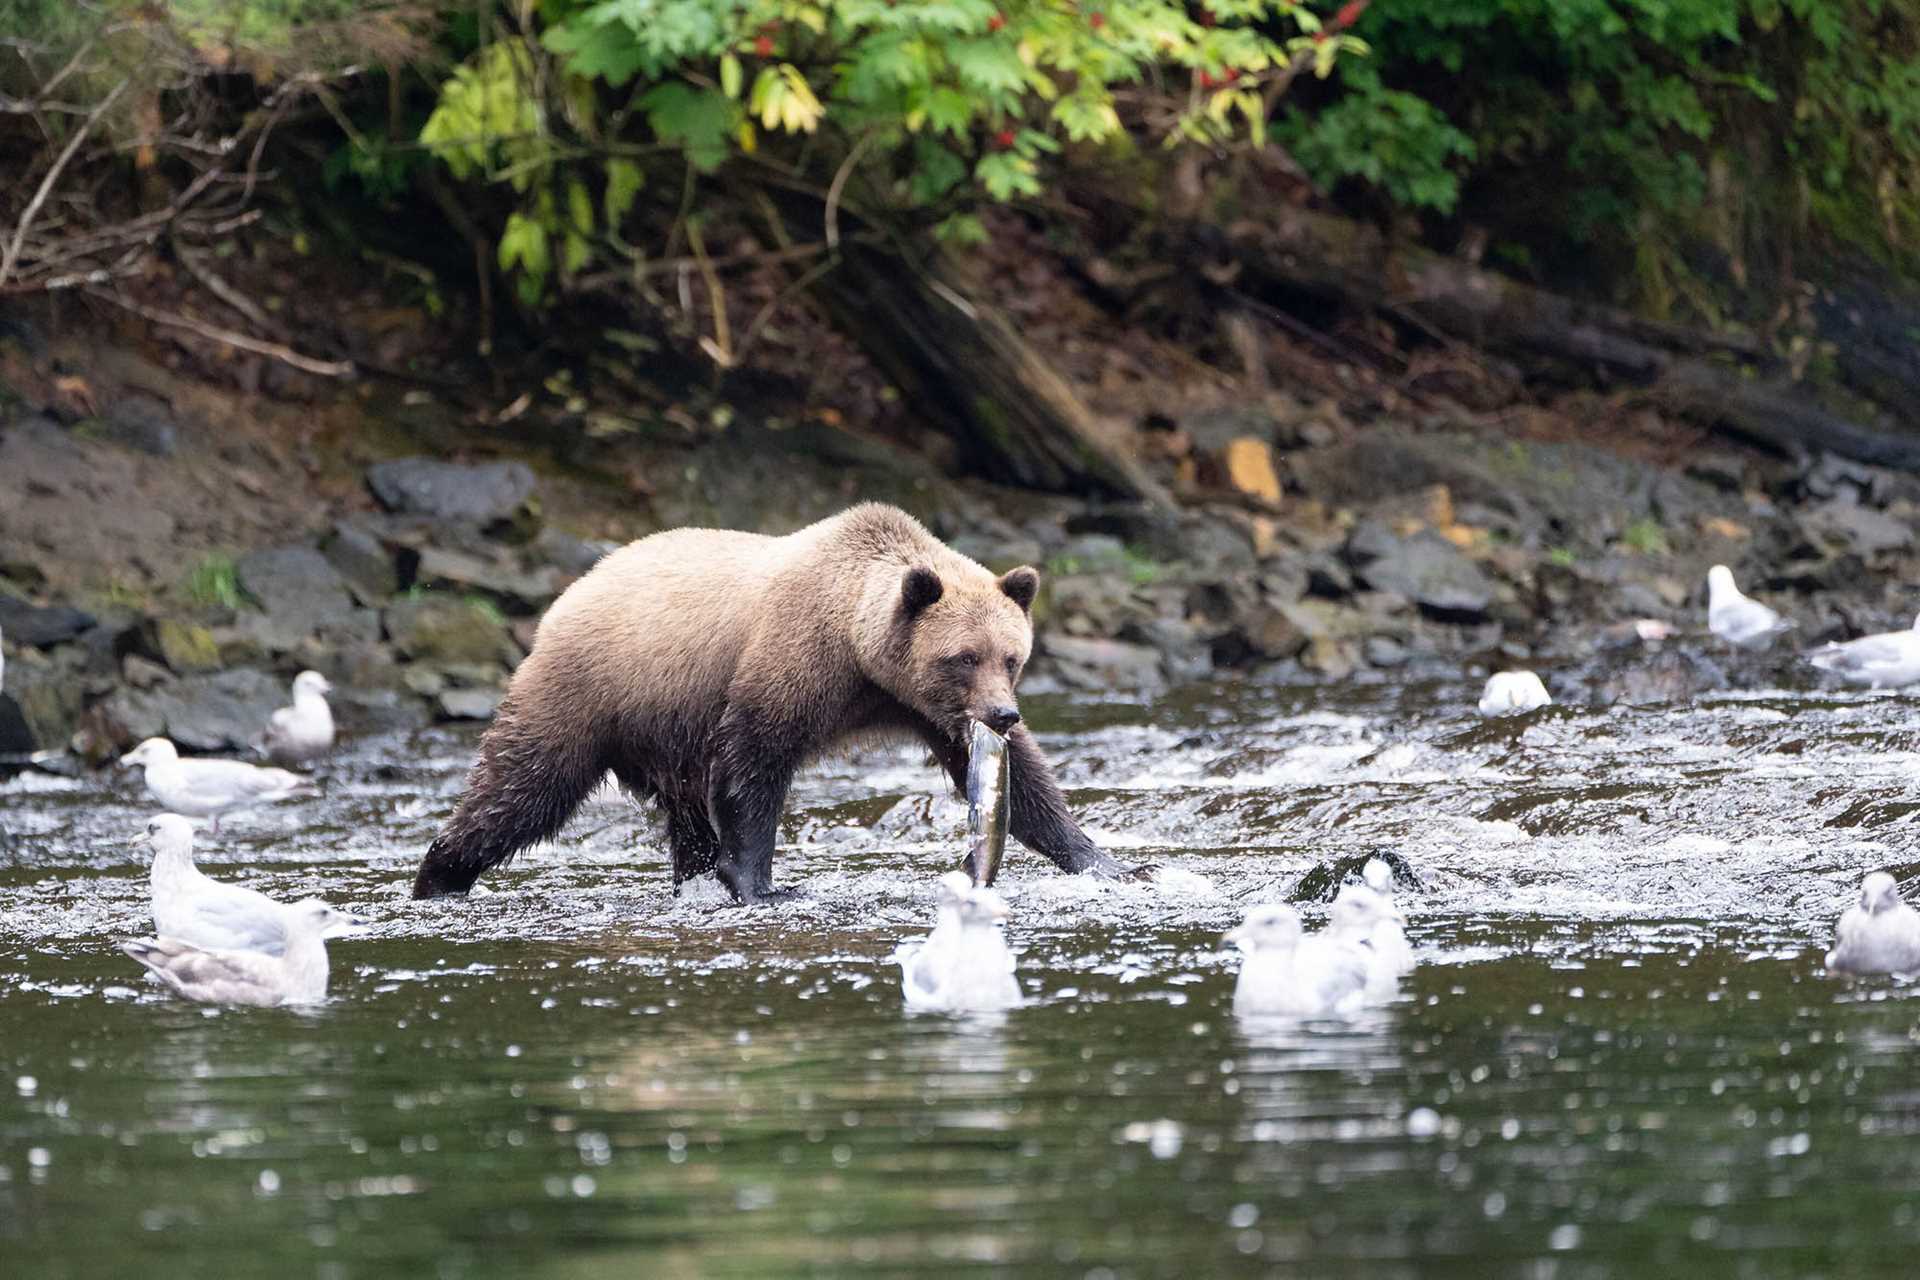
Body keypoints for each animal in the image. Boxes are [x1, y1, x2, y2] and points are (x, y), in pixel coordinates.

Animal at [408, 495, 1136, 905]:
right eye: (963, 657)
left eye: (1012, 657)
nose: (1002, 714)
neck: (859, 652)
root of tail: (566, 595)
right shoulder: (792, 659)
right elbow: (752, 764)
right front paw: (761, 883)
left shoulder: (919, 705)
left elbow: (1029, 786)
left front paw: (1104, 861)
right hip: (593, 687)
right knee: (525, 787)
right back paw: (439, 874)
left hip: (664, 728)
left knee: (683, 814)